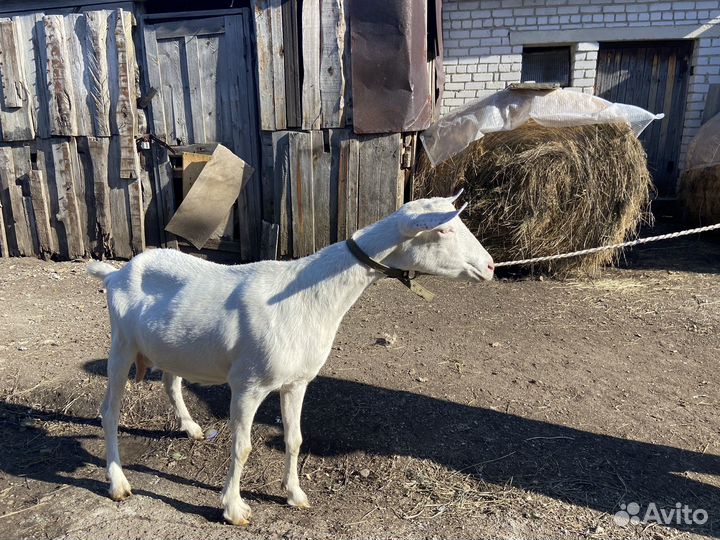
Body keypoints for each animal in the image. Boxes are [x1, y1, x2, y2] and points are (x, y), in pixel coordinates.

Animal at [87, 193, 494, 525]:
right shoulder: (248, 384)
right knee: (109, 411)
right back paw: (118, 482)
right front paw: (234, 509)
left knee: (171, 381)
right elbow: (243, 446)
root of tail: (116, 271)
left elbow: (295, 438)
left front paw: (295, 494)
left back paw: (190, 428)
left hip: (174, 347)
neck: (306, 296)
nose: (490, 266)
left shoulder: (297, 381)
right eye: (443, 230)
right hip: (121, 344)